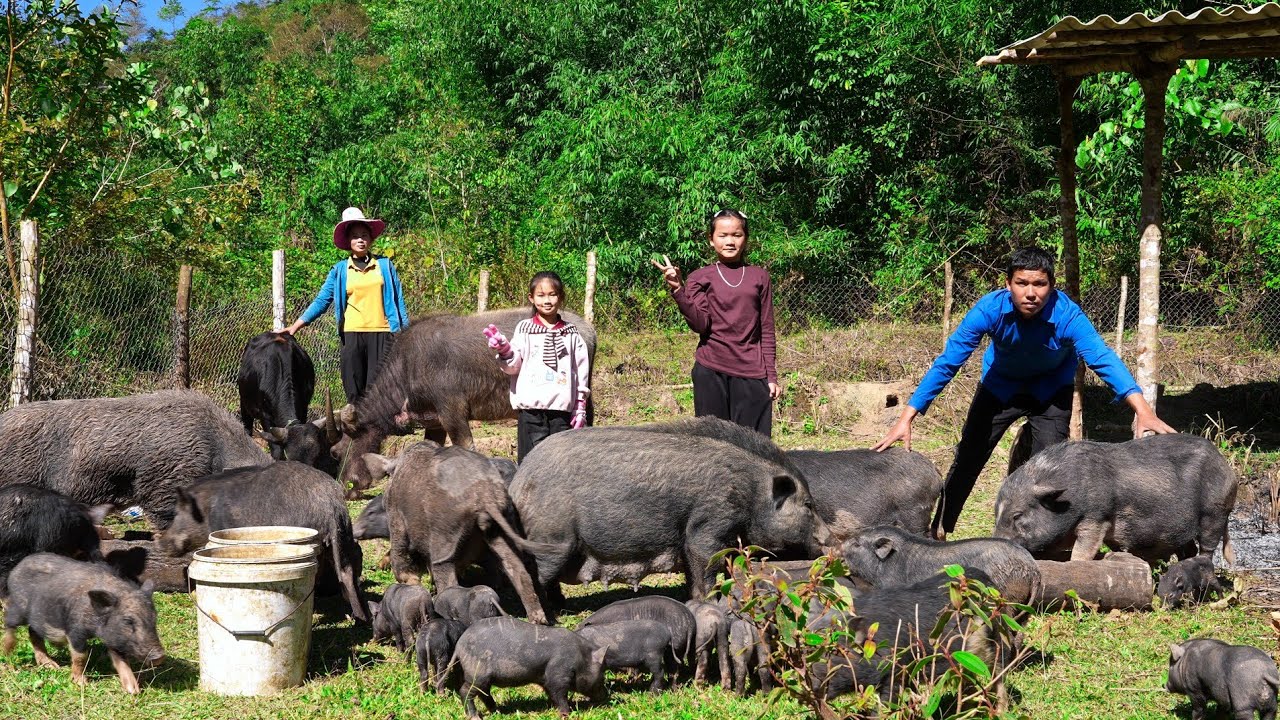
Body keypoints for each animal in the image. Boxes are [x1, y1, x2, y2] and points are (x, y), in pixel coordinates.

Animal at [1, 553, 164, 694]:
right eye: (128, 621)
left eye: (154, 618)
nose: (159, 656)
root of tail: (19, 566)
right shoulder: (75, 629)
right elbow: (81, 656)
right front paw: (81, 683)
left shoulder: (114, 636)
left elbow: (121, 660)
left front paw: (133, 691)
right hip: (18, 607)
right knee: (9, 621)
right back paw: (7, 652)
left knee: (32, 633)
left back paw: (51, 666)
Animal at [159, 461, 369, 623]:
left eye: (178, 513)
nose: (161, 543)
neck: (207, 511)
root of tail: (329, 505)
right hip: (344, 534)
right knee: (347, 572)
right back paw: (359, 619)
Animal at [453, 616, 608, 719]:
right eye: (602, 677)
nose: (606, 696)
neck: (580, 659)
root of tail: (459, 644)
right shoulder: (558, 673)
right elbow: (559, 694)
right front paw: (566, 714)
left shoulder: (545, 679)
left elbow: (551, 694)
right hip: (477, 674)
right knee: (465, 691)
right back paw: (475, 717)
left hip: (483, 678)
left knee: (484, 693)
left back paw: (497, 711)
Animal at [510, 416, 832, 605]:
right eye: (808, 505)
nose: (832, 538)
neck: (752, 493)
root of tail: (519, 481)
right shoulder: (709, 524)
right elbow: (706, 567)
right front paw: (708, 603)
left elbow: (693, 572)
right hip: (551, 539)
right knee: (533, 578)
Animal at [993, 434, 1238, 564]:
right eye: (996, 513)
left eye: (1017, 515)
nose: (997, 541)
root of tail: (1227, 467)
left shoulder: (1096, 517)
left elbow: (1082, 551)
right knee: (1188, 548)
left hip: (1215, 511)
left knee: (1207, 547)